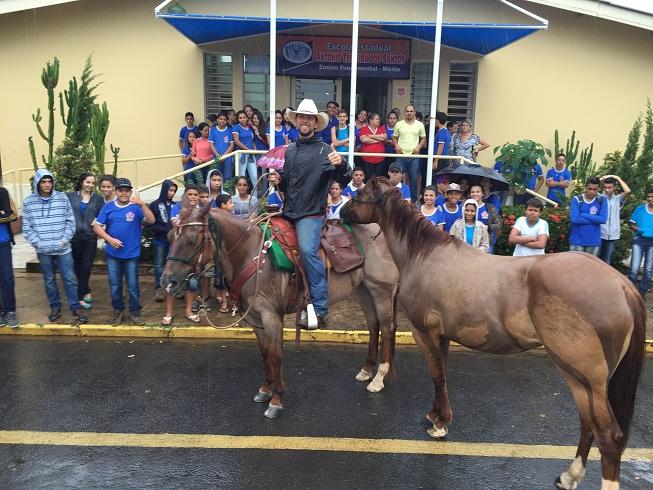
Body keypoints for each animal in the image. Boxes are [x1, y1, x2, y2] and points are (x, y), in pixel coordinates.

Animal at [160, 203, 400, 418]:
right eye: (171, 236)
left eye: (191, 240)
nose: (167, 282)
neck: (251, 255)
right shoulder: (256, 319)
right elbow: (265, 353)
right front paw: (265, 390)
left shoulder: (271, 316)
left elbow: (276, 355)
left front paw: (276, 400)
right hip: (364, 290)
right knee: (373, 326)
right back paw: (366, 370)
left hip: (381, 291)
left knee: (387, 329)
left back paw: (378, 378)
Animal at [338, 178, 644, 490]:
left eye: (360, 194)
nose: (340, 213)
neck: (423, 256)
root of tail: (623, 286)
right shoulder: (443, 336)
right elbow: (441, 375)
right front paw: (435, 415)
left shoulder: (425, 333)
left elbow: (437, 375)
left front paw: (440, 425)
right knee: (587, 424)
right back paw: (569, 477)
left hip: (582, 376)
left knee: (607, 435)